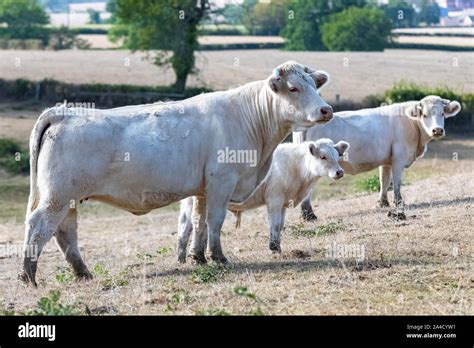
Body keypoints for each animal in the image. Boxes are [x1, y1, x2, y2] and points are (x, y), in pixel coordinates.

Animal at [21, 60, 334, 286]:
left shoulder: (203, 188)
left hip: (68, 198)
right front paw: (218, 257)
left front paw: (198, 257)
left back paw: (83, 273)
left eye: (314, 85)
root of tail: (63, 112)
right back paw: (28, 276)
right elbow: (215, 221)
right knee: (39, 225)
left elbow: (199, 221)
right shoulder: (222, 181)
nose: (326, 109)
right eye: (293, 88)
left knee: (65, 232)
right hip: (58, 196)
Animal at [294, 95, 462, 220]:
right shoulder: (399, 158)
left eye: (442, 114)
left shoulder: (387, 160)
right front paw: (399, 203)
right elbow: (397, 182)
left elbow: (384, 180)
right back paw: (309, 215)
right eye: (425, 115)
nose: (437, 130)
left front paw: (383, 203)